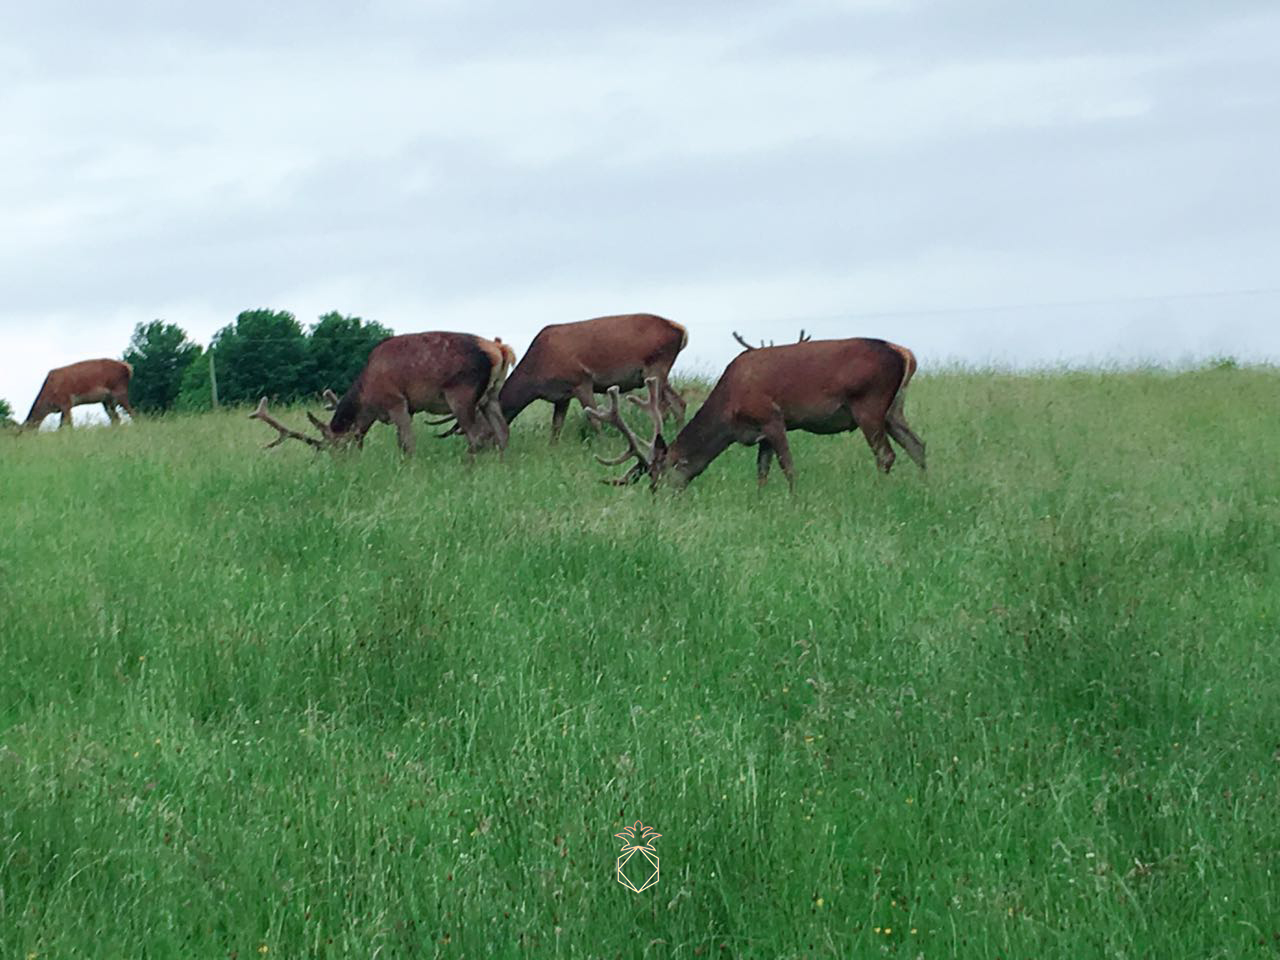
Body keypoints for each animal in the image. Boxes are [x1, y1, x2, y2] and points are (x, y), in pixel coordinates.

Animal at [247, 332, 512, 455]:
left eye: (335, 448)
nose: (339, 468)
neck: (368, 398)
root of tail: (501, 349)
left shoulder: (396, 401)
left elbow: (407, 444)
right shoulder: (408, 408)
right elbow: (400, 442)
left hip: (461, 392)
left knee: (476, 435)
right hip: (491, 395)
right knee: (502, 432)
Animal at [491, 316, 691, 442]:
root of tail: (682, 331)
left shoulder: (581, 381)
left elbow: (595, 420)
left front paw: (602, 445)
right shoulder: (561, 396)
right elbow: (556, 427)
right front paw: (553, 449)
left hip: (655, 367)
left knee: (664, 407)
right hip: (658, 373)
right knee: (678, 403)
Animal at [586, 337, 926, 491]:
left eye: (658, 478)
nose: (658, 500)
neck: (728, 413)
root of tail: (905, 354)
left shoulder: (772, 417)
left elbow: (788, 466)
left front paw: (794, 500)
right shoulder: (759, 435)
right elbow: (761, 471)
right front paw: (762, 501)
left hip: (869, 403)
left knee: (886, 455)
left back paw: (881, 490)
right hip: (893, 409)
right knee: (918, 444)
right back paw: (926, 487)